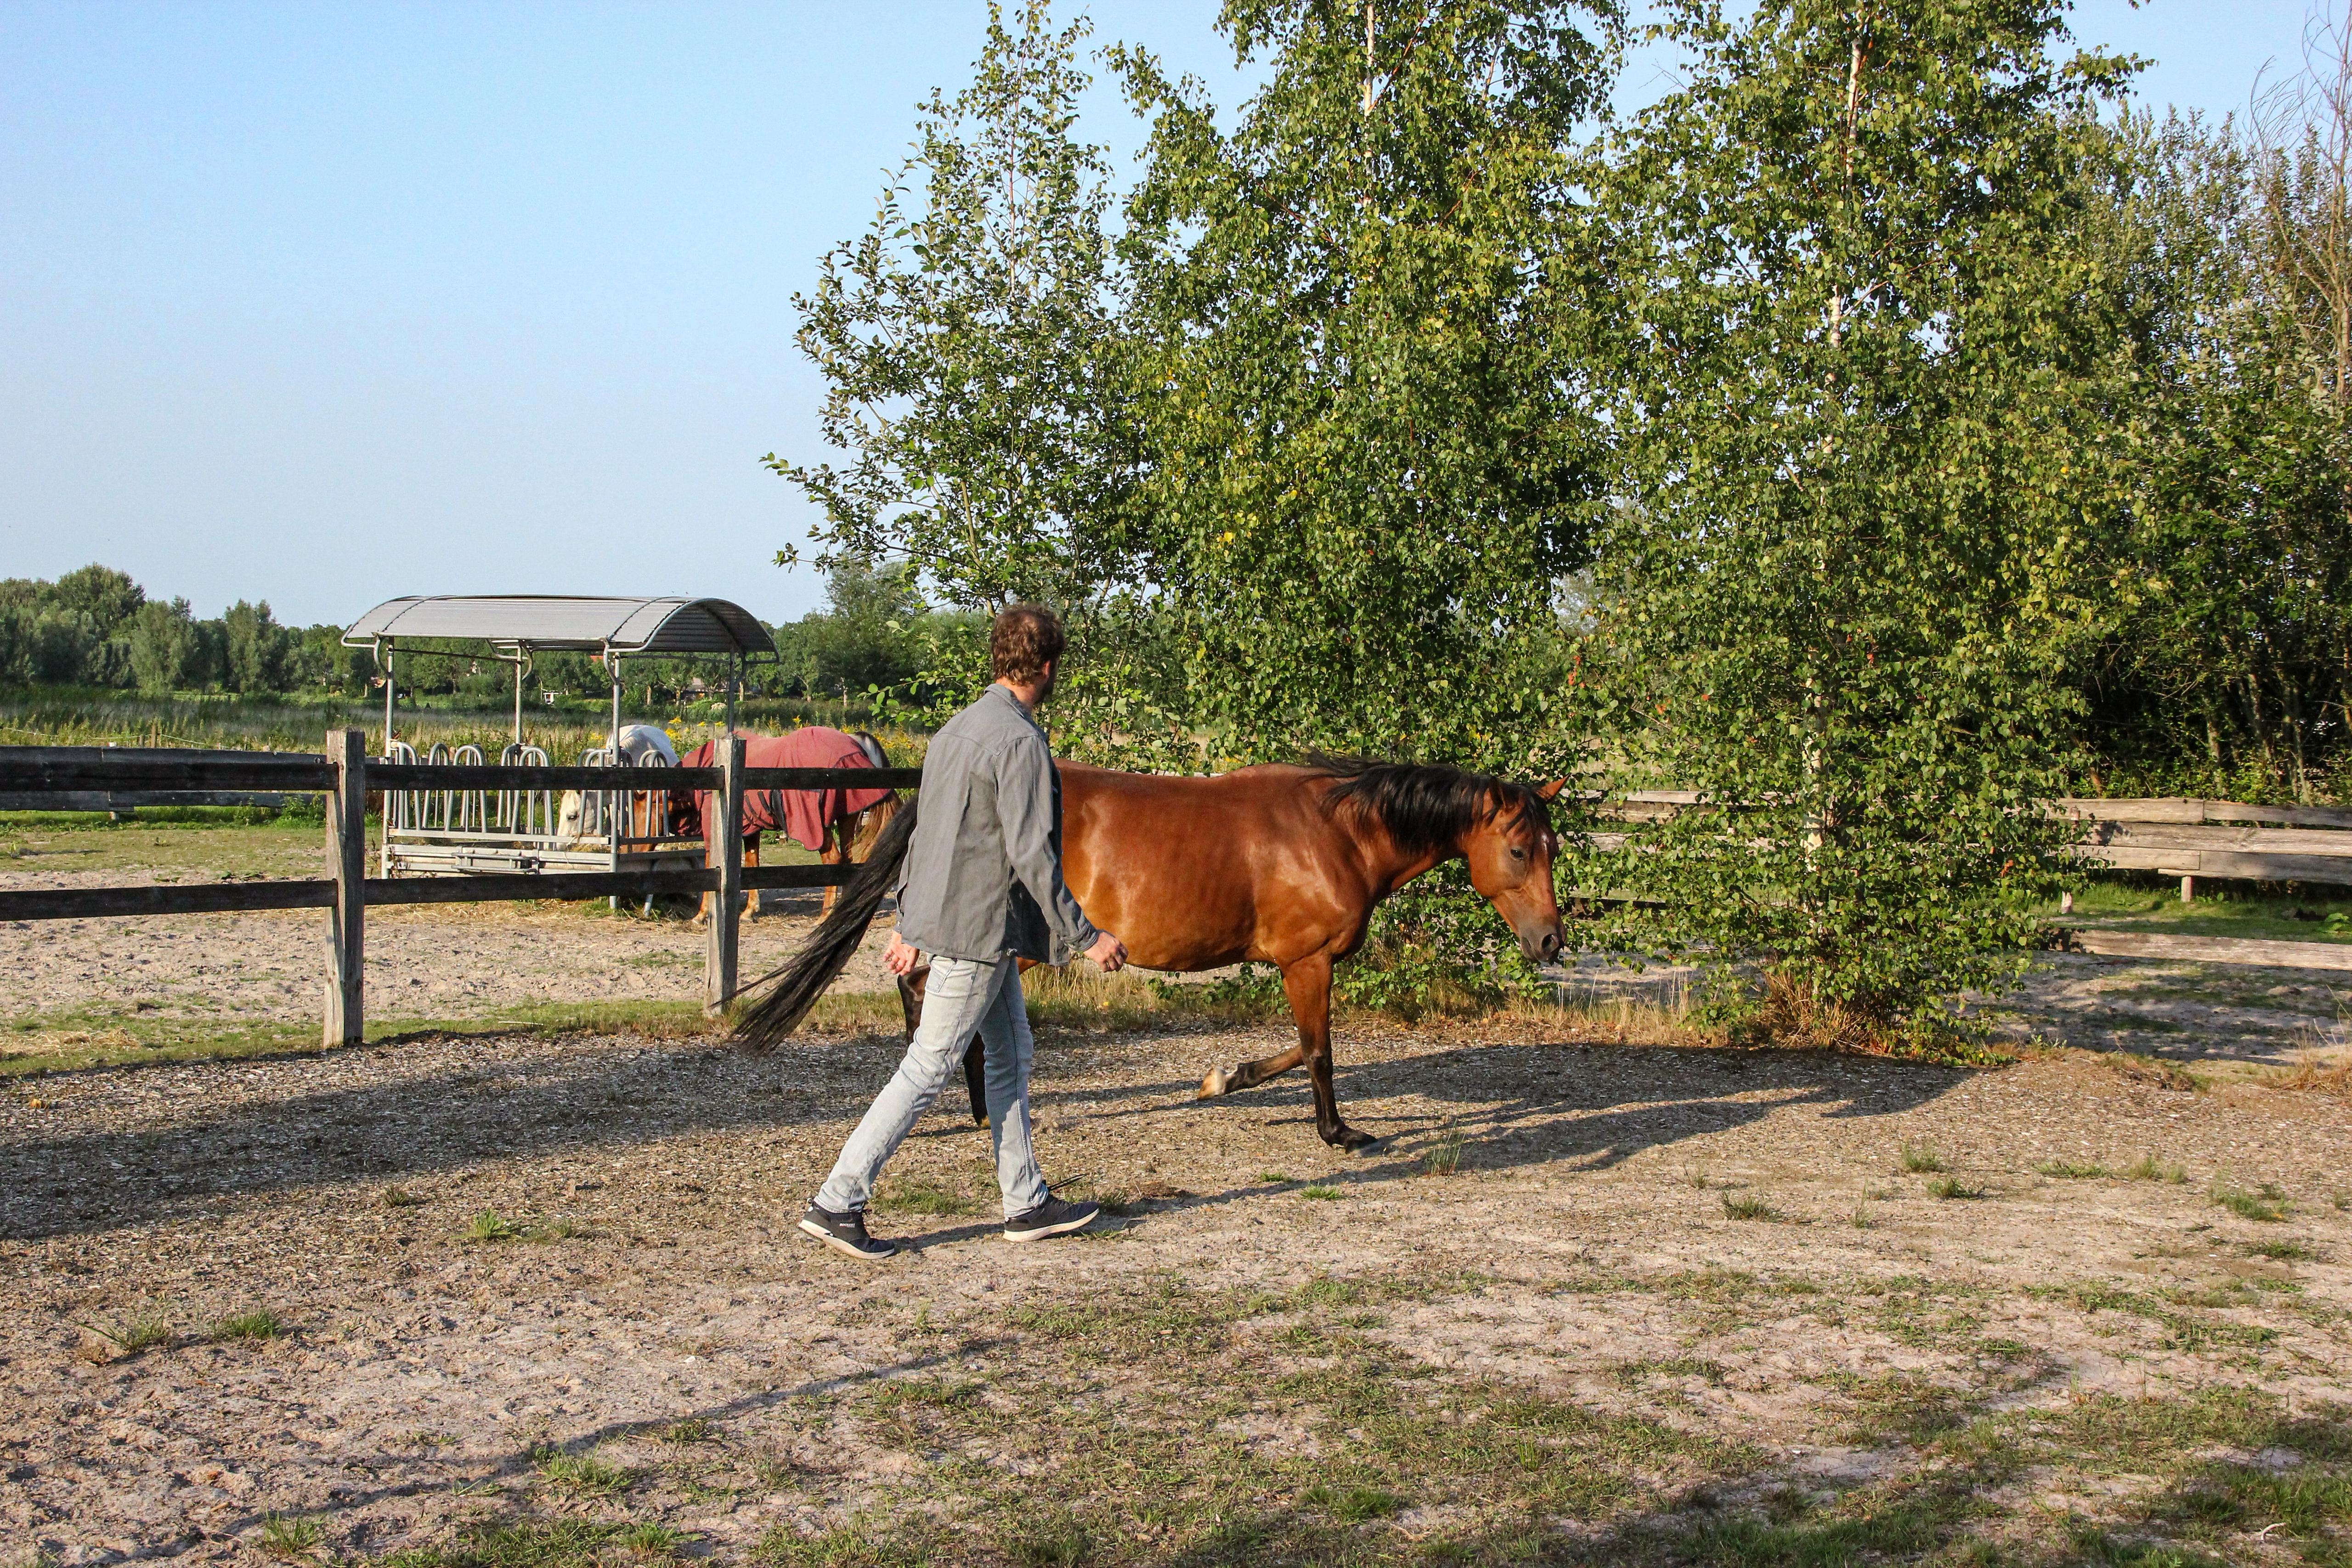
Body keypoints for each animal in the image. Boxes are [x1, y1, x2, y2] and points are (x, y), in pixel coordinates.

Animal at [734, 757, 1564, 1151]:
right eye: (1520, 849)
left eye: (1552, 848)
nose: (1552, 940)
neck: (1337, 830)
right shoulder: (1308, 961)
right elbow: (1319, 1051)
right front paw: (1339, 1132)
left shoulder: (1300, 964)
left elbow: (1294, 1051)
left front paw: (1224, 1078)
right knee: (924, 988)